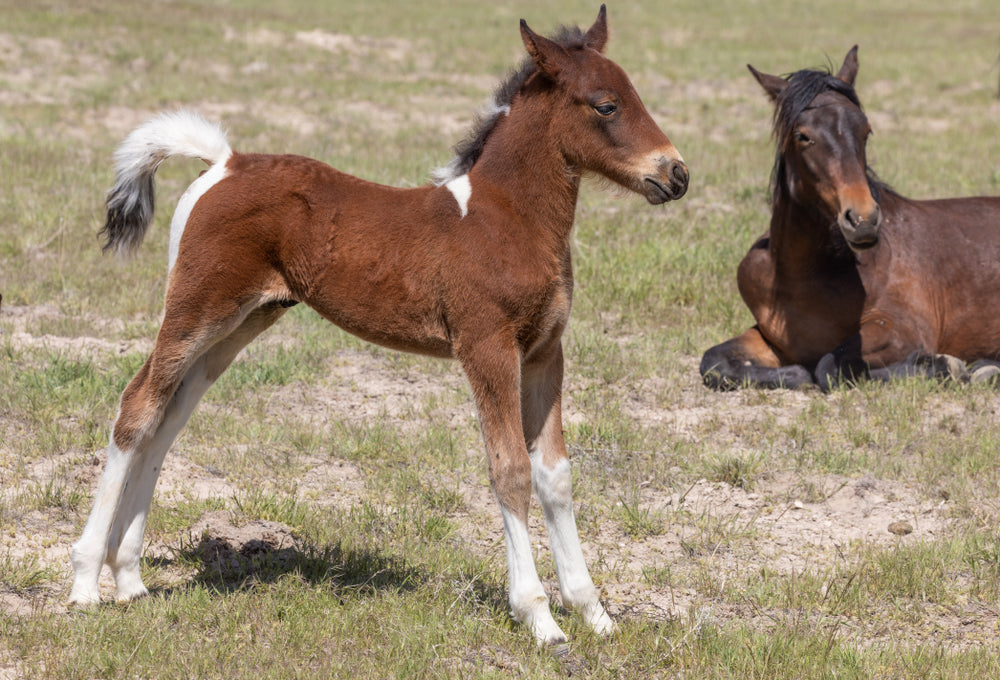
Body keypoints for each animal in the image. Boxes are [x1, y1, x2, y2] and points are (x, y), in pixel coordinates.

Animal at [68, 6, 689, 646]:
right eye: (606, 106)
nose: (676, 174)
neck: (506, 220)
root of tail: (226, 163)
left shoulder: (545, 352)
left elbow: (555, 475)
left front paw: (594, 613)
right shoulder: (487, 348)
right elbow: (511, 470)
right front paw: (539, 617)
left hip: (242, 322)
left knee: (167, 420)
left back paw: (130, 578)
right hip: (196, 309)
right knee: (137, 408)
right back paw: (87, 583)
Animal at [699, 46, 1000, 391]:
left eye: (865, 131)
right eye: (802, 136)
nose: (863, 219)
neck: (801, 276)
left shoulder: (903, 329)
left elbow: (829, 366)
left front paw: (949, 366)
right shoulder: (770, 337)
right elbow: (714, 361)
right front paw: (794, 374)